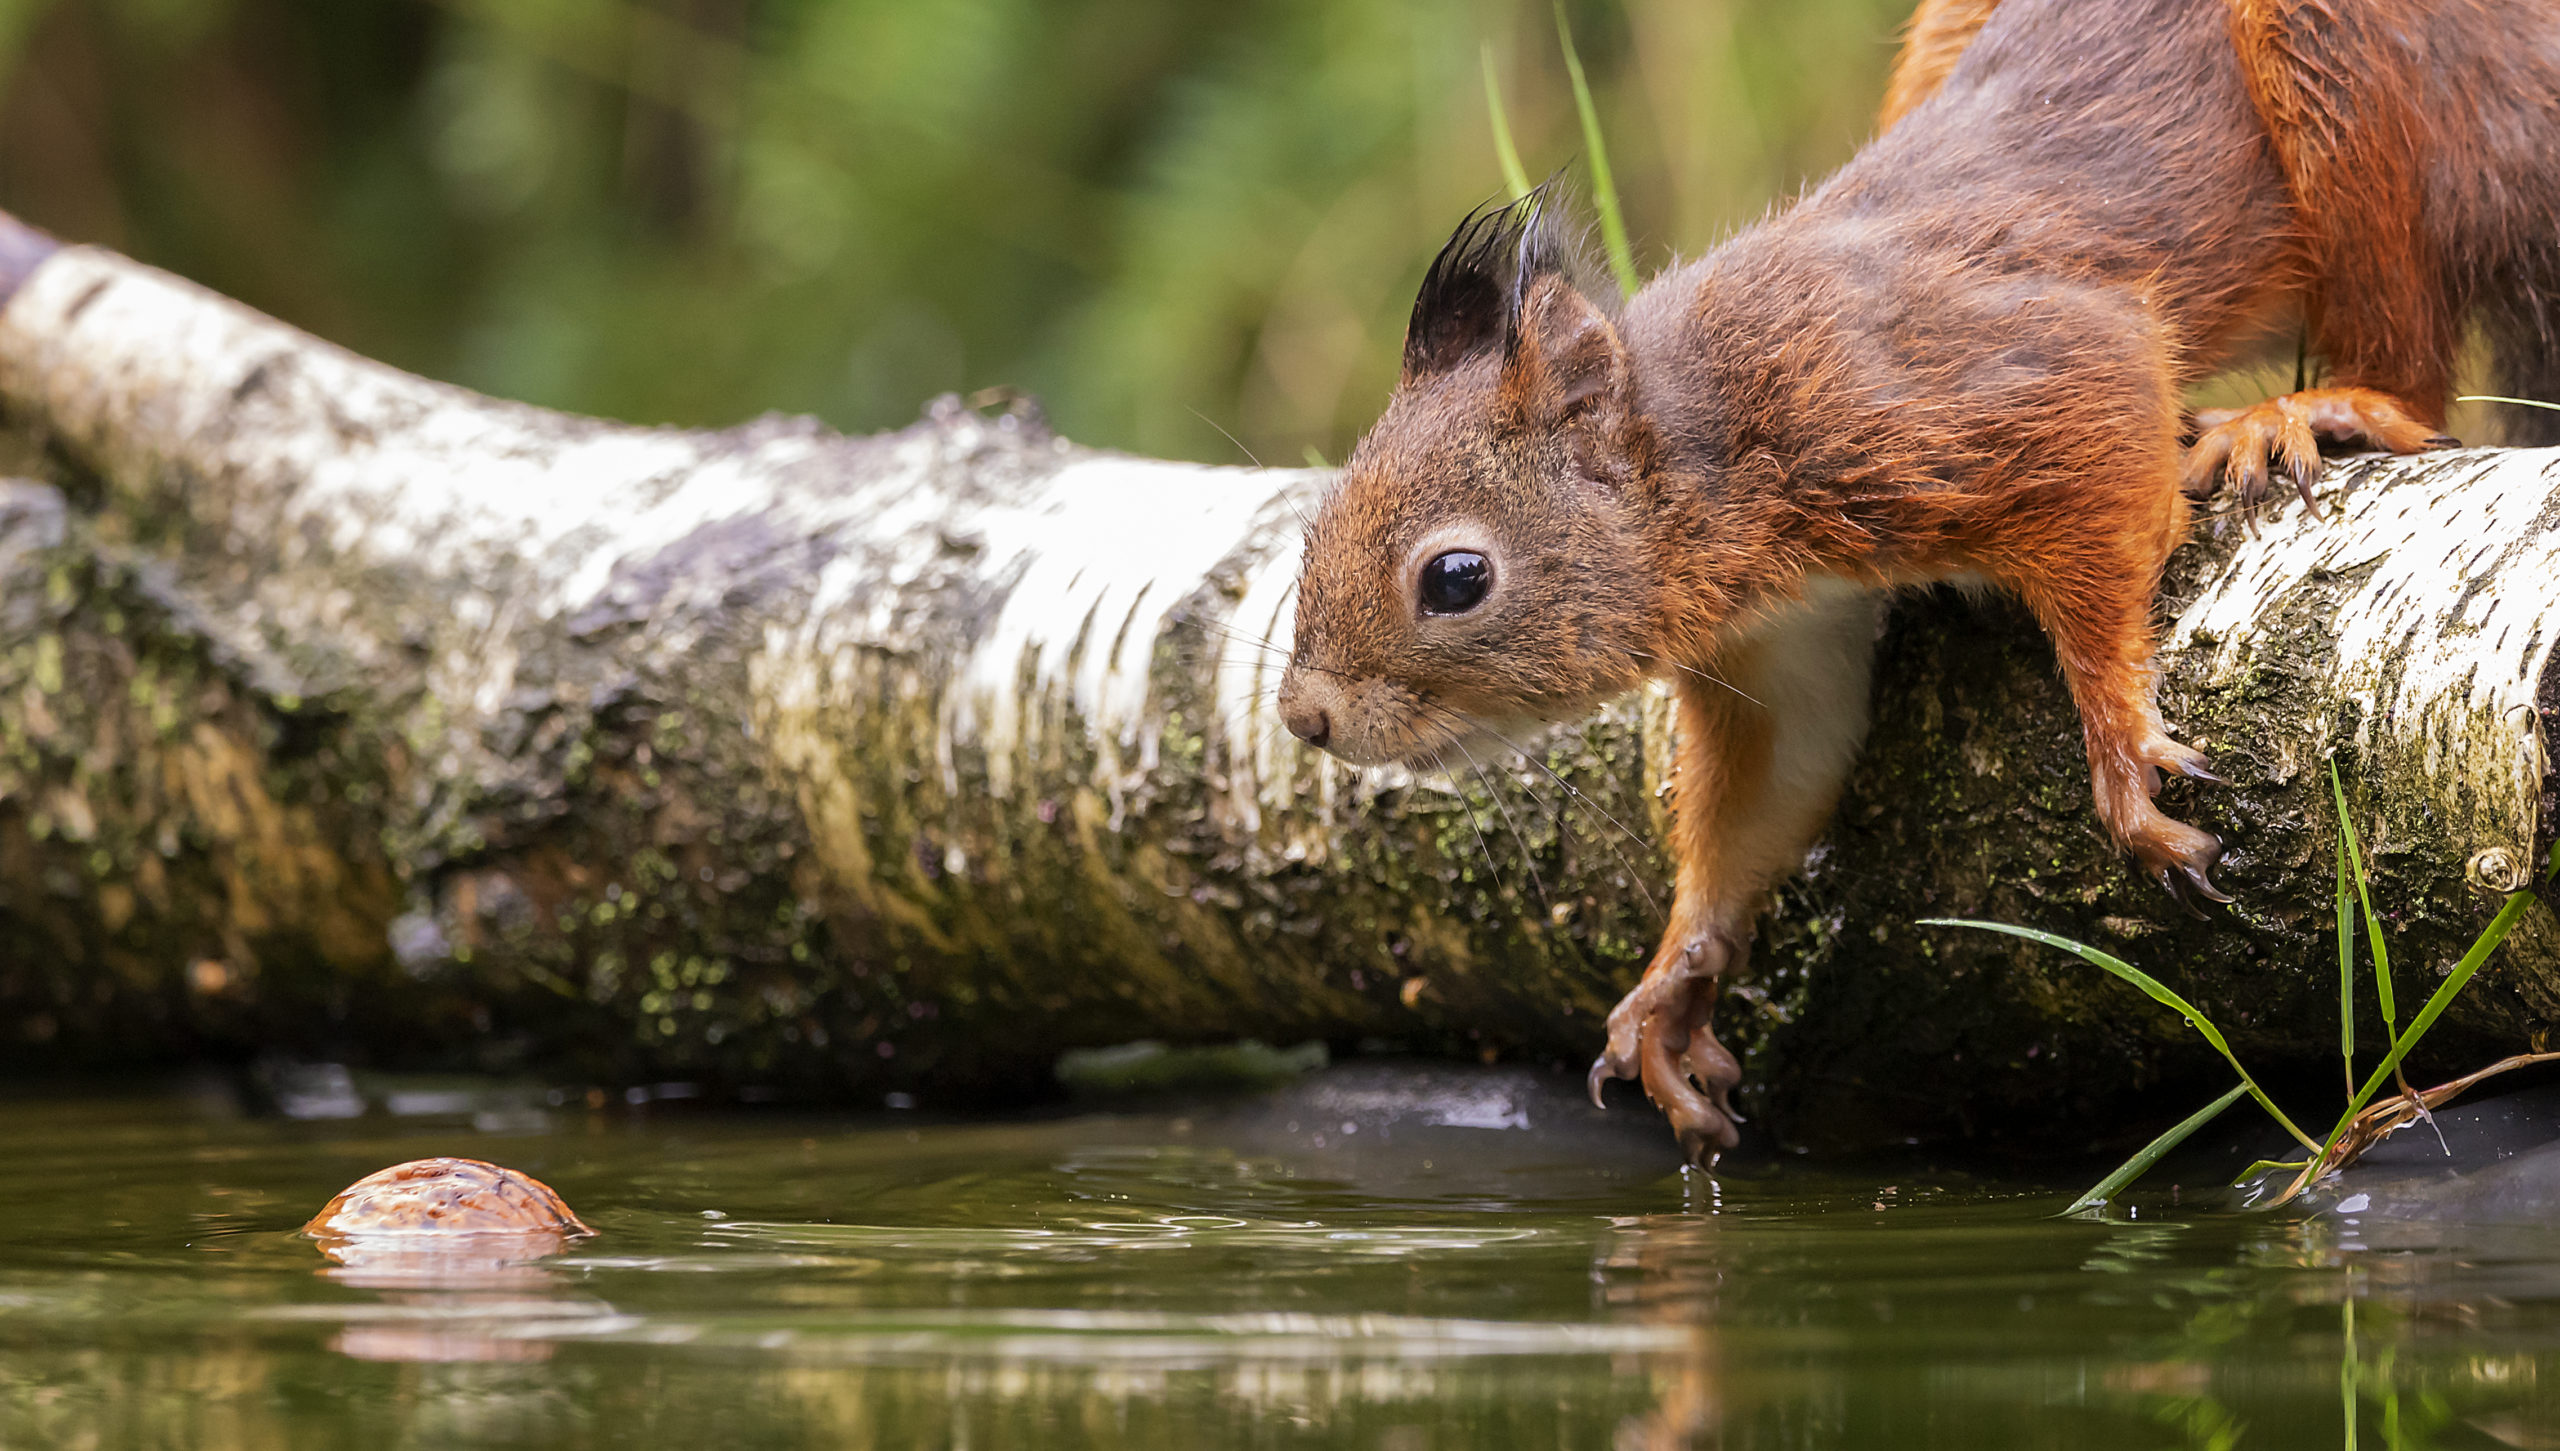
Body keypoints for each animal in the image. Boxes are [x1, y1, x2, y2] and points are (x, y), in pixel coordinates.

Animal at [1274, 0, 2560, 1161]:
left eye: (1454, 576)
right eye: (1317, 523)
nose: (1305, 718)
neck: (1711, 445)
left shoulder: (1990, 385)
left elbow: (2105, 486)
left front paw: (2119, 742)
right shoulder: (1784, 645)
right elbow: (1772, 785)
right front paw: (1672, 982)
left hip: (2360, 82)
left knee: (2409, 360)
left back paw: (2310, 409)